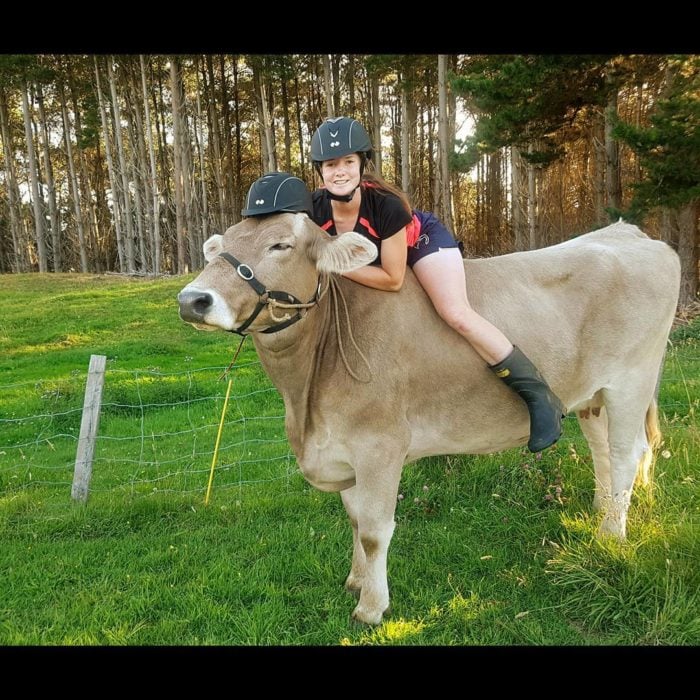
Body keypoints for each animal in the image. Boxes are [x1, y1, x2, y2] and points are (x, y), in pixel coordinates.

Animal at [178, 216, 680, 628]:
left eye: (280, 244)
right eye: (221, 244)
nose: (191, 299)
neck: (304, 399)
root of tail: (627, 232)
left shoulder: (380, 445)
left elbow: (375, 530)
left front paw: (371, 608)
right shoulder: (343, 449)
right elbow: (355, 520)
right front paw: (356, 581)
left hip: (630, 382)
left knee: (626, 454)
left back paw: (610, 537)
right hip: (590, 395)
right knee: (604, 452)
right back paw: (602, 513)